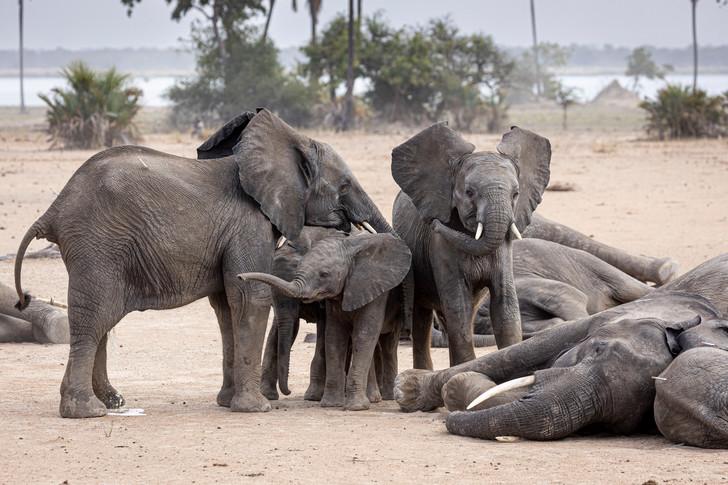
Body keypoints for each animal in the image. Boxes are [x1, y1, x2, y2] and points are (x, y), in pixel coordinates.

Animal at [12, 108, 392, 416]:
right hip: (97, 244)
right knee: (93, 319)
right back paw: (87, 412)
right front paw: (256, 408)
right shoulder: (248, 223)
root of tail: (54, 209)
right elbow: (250, 297)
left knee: (101, 320)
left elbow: (226, 306)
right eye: (345, 186)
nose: (355, 226)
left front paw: (226, 403)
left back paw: (112, 402)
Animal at [239, 231, 410, 408]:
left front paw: (352, 406)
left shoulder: (373, 288)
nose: (240, 277)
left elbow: (362, 334)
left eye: (323, 274)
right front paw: (330, 404)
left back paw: (382, 397)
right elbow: (333, 335)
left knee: (387, 343)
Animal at [392, 122, 552, 366]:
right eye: (469, 193)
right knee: (423, 319)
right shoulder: (440, 246)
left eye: (516, 194)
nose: (435, 223)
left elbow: (505, 303)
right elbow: (458, 304)